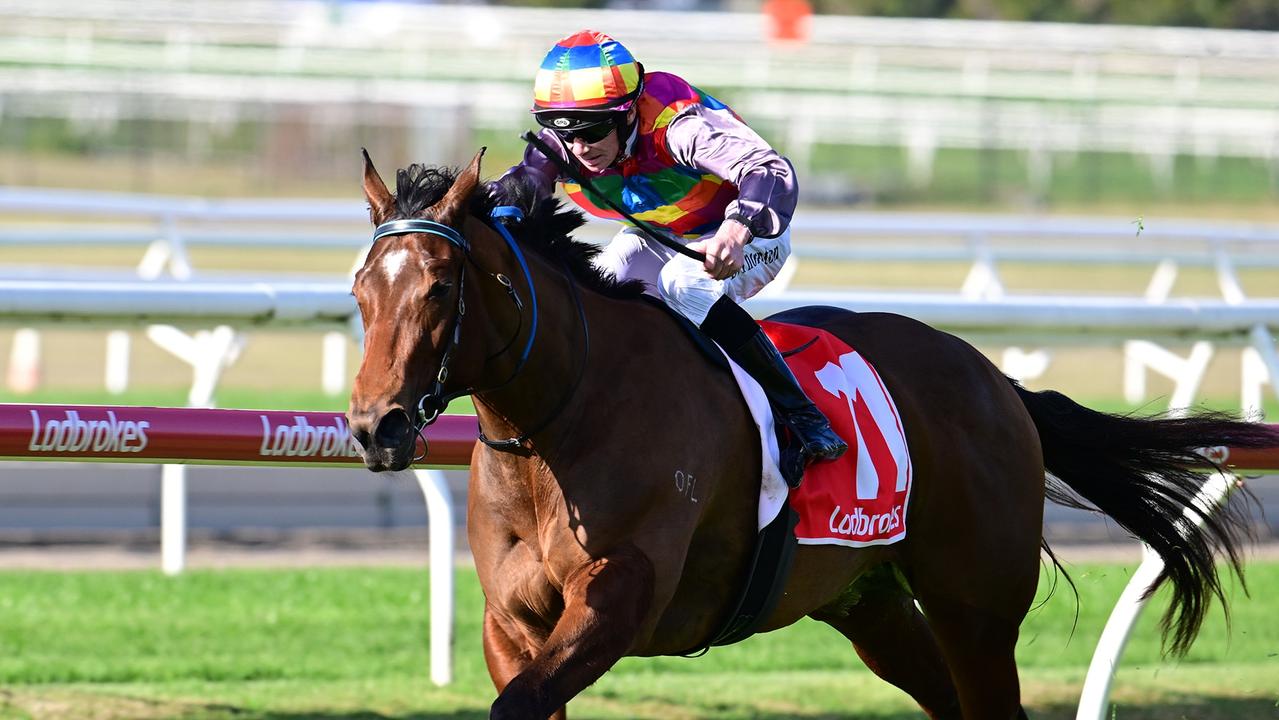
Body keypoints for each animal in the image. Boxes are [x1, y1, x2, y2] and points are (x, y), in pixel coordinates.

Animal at [347, 149, 1279, 716]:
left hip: (975, 602)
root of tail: (992, 379)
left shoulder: (621, 597)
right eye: (360, 287)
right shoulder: (511, 626)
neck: (559, 417)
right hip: (868, 601)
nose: (373, 424)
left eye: (438, 287)